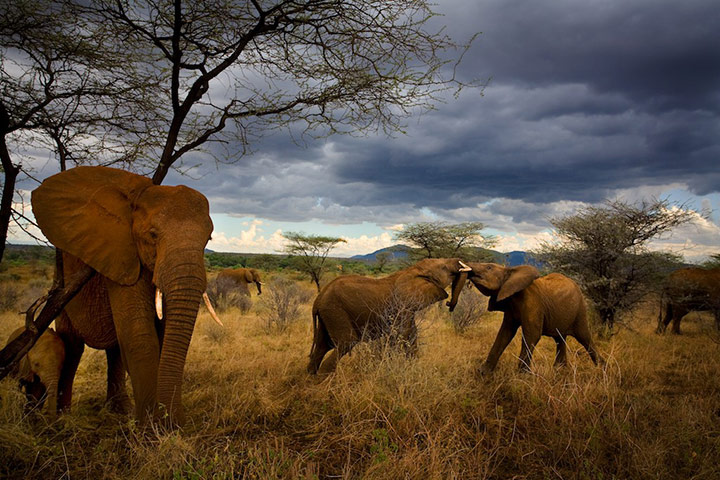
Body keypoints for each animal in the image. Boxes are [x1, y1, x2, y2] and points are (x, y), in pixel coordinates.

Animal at [31, 166, 220, 426]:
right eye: (152, 235)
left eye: (208, 240)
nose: (177, 421)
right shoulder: (123, 256)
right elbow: (140, 334)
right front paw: (151, 426)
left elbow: (161, 334)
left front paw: (160, 422)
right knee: (72, 346)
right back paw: (64, 418)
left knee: (114, 349)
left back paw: (120, 411)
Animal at [307, 258, 471, 374]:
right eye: (444, 268)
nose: (449, 304)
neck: (414, 269)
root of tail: (318, 300)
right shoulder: (402, 306)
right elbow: (402, 335)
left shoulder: (407, 309)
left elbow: (412, 336)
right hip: (335, 311)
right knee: (346, 343)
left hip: (327, 315)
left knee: (322, 346)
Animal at [448, 263, 603, 374]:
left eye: (489, 267)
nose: (449, 303)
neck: (510, 271)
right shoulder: (511, 305)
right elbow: (505, 333)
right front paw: (483, 373)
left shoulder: (532, 302)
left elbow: (531, 335)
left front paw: (521, 377)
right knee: (560, 339)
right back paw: (559, 370)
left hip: (580, 311)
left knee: (584, 337)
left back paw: (602, 369)